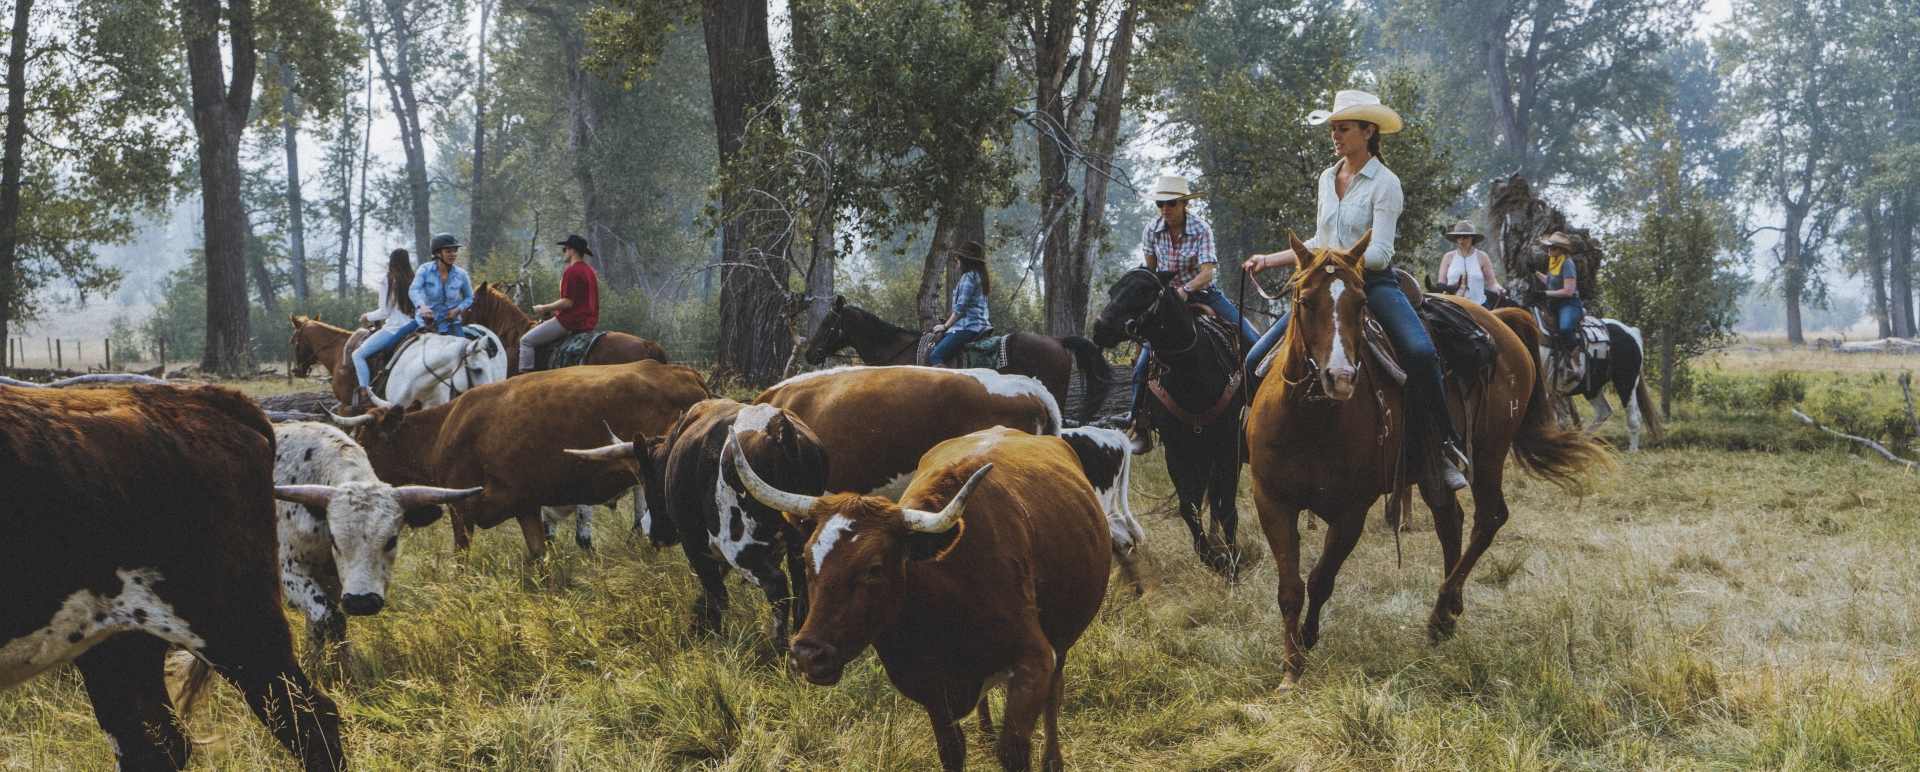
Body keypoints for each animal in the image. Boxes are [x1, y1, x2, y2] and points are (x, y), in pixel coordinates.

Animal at [268, 422, 483, 649]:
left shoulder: (334, 581)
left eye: (392, 540)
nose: (361, 603)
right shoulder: (292, 572)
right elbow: (327, 617)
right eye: (335, 540)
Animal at [332, 359, 709, 560]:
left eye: (362, 442)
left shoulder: (461, 509)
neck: (445, 428)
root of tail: (681, 371)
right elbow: (539, 555)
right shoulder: (526, 505)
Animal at [567, 399, 829, 646]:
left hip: (740, 546)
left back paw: (777, 647)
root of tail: (778, 428)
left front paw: (713, 637)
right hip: (798, 545)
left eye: (644, 477)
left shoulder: (695, 543)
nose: (650, 530)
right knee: (802, 592)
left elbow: (714, 593)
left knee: (776, 586)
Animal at [731, 425, 1110, 771]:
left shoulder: (1034, 664)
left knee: (1054, 697)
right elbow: (952, 751)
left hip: (1061, 643)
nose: (808, 655)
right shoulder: (928, 687)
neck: (947, 599)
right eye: (809, 560)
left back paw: (1053, 759)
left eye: (874, 568)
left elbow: (1015, 750)